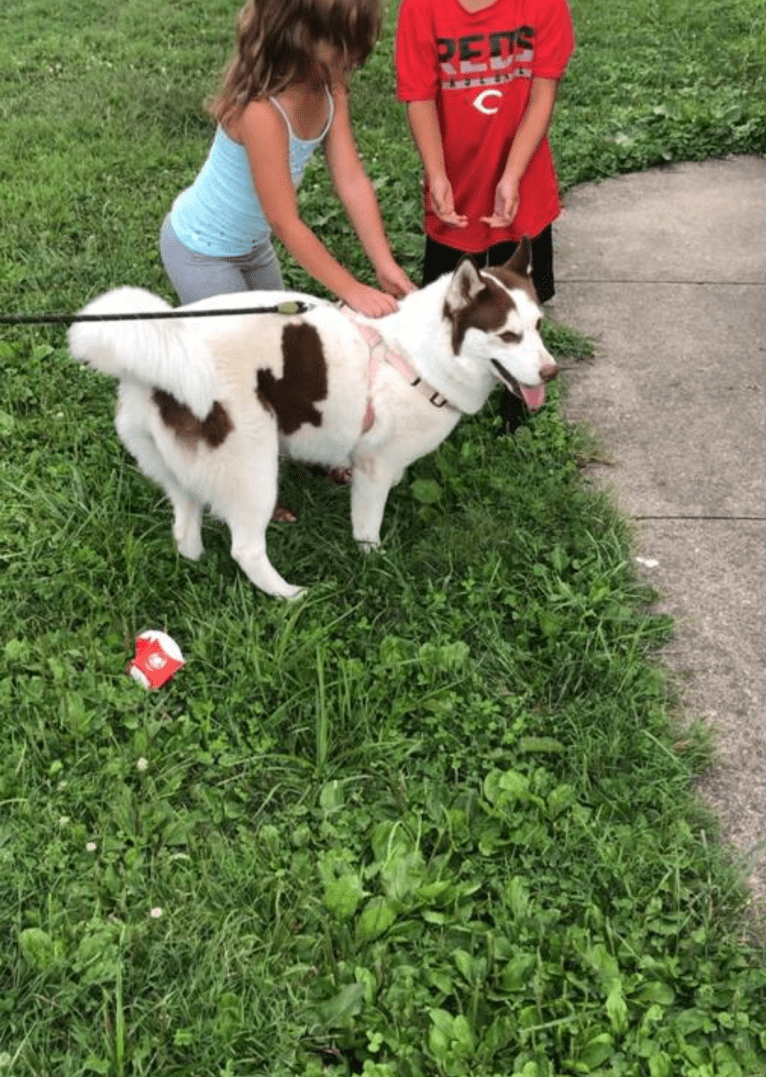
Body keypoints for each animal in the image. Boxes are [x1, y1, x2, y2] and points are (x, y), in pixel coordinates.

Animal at [67, 236, 555, 603]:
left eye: (537, 325)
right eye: (507, 335)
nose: (551, 372)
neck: (421, 355)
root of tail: (153, 370)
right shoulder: (374, 468)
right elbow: (367, 526)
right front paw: (374, 561)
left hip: (176, 470)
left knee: (184, 527)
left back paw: (197, 568)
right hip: (252, 470)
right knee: (246, 548)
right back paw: (289, 595)